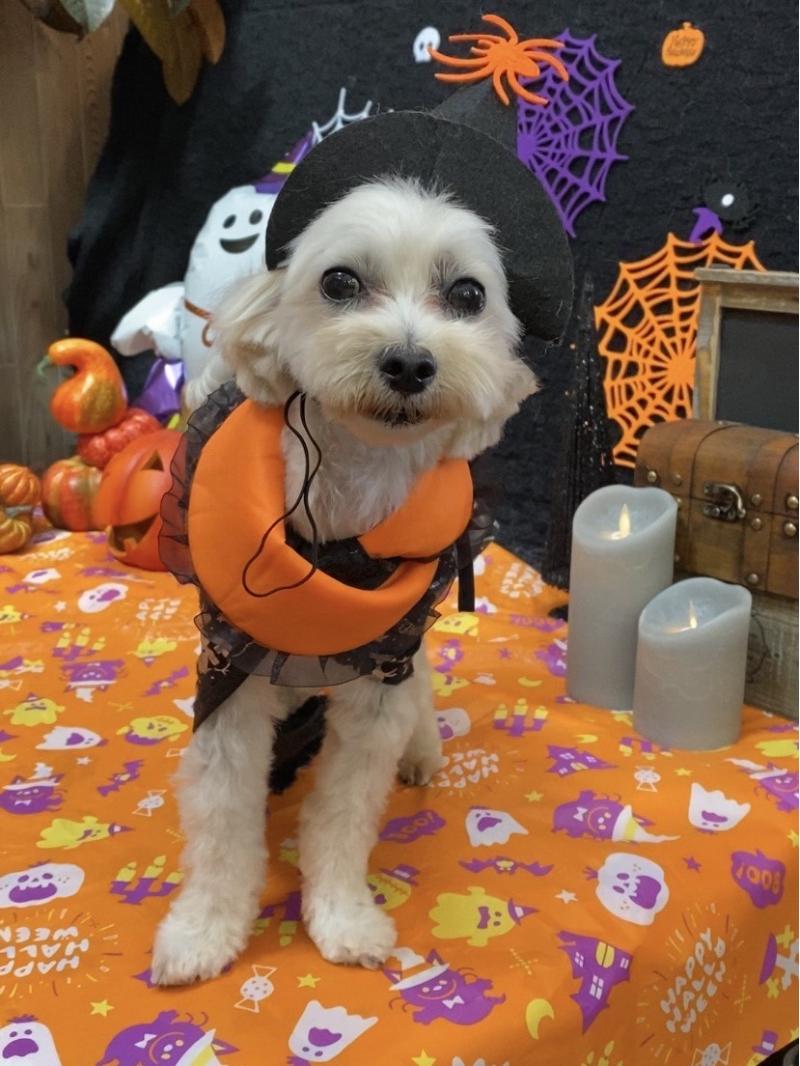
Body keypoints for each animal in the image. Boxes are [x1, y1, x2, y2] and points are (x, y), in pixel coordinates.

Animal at [150, 177, 536, 985]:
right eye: (339, 282)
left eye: (467, 294)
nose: (410, 363)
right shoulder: (229, 669)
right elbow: (222, 815)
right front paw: (204, 931)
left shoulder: (380, 680)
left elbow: (345, 811)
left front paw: (342, 919)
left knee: (420, 693)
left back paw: (422, 752)